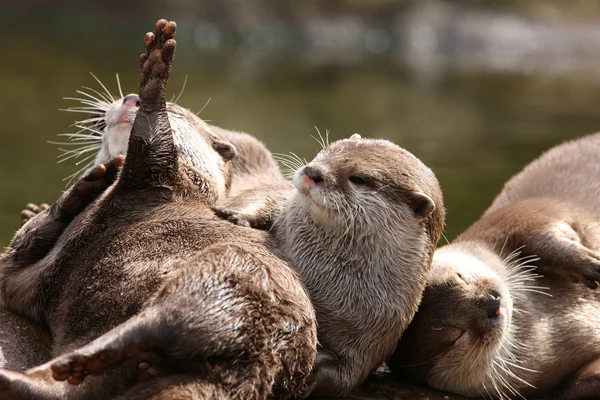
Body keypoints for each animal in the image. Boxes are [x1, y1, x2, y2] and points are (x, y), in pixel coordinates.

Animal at [0, 18, 316, 400]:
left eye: (179, 112)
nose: (129, 98)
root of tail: (262, 366)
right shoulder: (23, 281)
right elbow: (17, 255)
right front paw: (87, 184)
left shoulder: (165, 176)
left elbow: (152, 144)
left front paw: (154, 77)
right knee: (69, 388)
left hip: (233, 270)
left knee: (163, 319)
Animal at [216, 133, 446, 396]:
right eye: (328, 150)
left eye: (358, 179)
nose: (313, 171)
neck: (325, 286)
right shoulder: (281, 200)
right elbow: (262, 196)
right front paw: (235, 215)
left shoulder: (376, 339)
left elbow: (344, 378)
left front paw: (314, 370)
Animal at [386, 133, 600, 398]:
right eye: (455, 337)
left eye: (460, 278)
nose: (491, 303)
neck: (546, 321)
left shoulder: (513, 218)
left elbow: (538, 228)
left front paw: (588, 262)